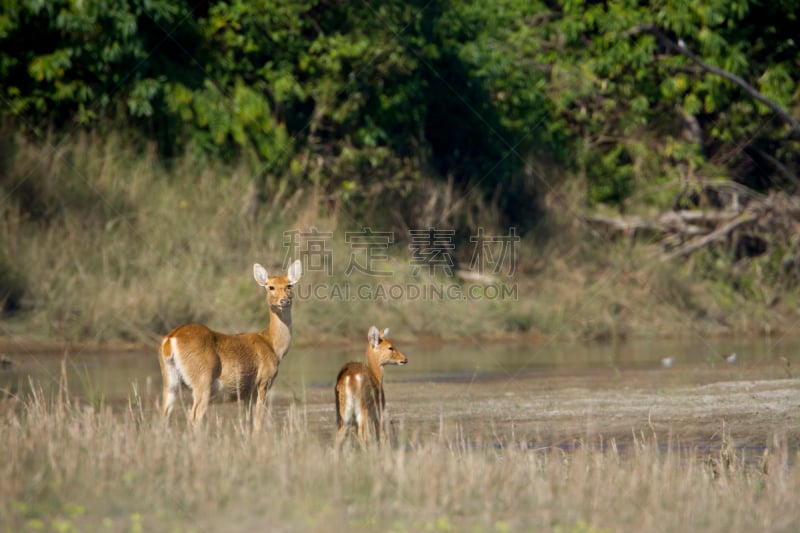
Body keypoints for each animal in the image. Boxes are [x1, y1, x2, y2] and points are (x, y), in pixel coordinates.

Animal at [158, 260, 302, 430]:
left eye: (289, 285)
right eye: (270, 286)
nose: (284, 301)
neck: (272, 344)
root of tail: (170, 339)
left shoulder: (246, 393)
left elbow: (248, 421)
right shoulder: (263, 382)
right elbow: (258, 422)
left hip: (170, 380)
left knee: (164, 415)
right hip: (202, 379)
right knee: (194, 416)